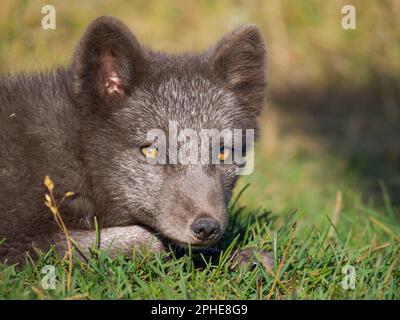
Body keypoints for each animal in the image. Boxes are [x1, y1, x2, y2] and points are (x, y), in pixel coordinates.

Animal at [0, 16, 268, 264]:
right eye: (152, 151)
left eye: (223, 151)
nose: (207, 227)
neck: (76, 154)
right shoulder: (18, 241)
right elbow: (149, 241)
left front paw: (244, 257)